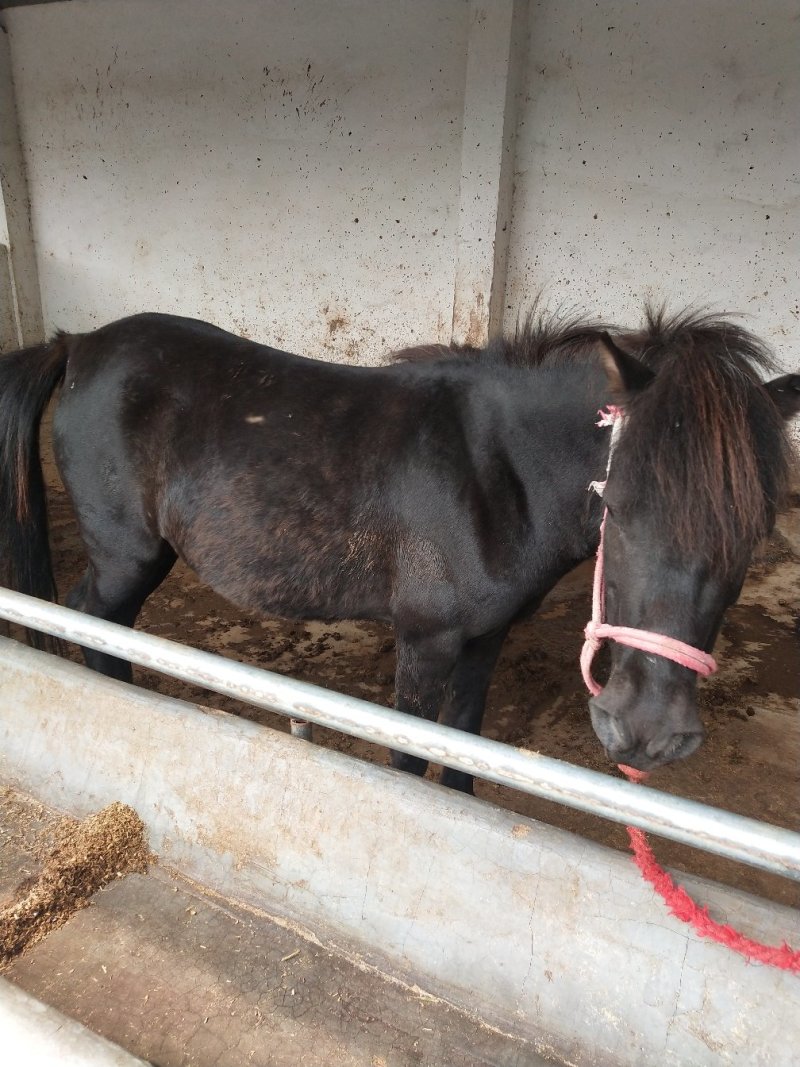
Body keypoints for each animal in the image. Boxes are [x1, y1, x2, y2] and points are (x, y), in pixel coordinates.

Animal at [0, 307, 796, 791]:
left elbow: (464, 746)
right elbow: (412, 757)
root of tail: (78, 345)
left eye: (754, 533)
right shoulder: (426, 641)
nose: (646, 735)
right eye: (618, 506)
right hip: (126, 555)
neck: (498, 468)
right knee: (90, 619)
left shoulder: (484, 641)